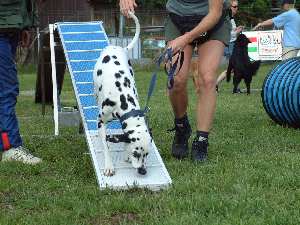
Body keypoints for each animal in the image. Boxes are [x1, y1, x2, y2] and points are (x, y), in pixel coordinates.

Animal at [93, 12, 151, 177]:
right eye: (137, 153)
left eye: (147, 154)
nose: (143, 171)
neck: (122, 98)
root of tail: (120, 48)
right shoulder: (101, 121)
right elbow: (105, 145)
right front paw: (109, 166)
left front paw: (126, 154)